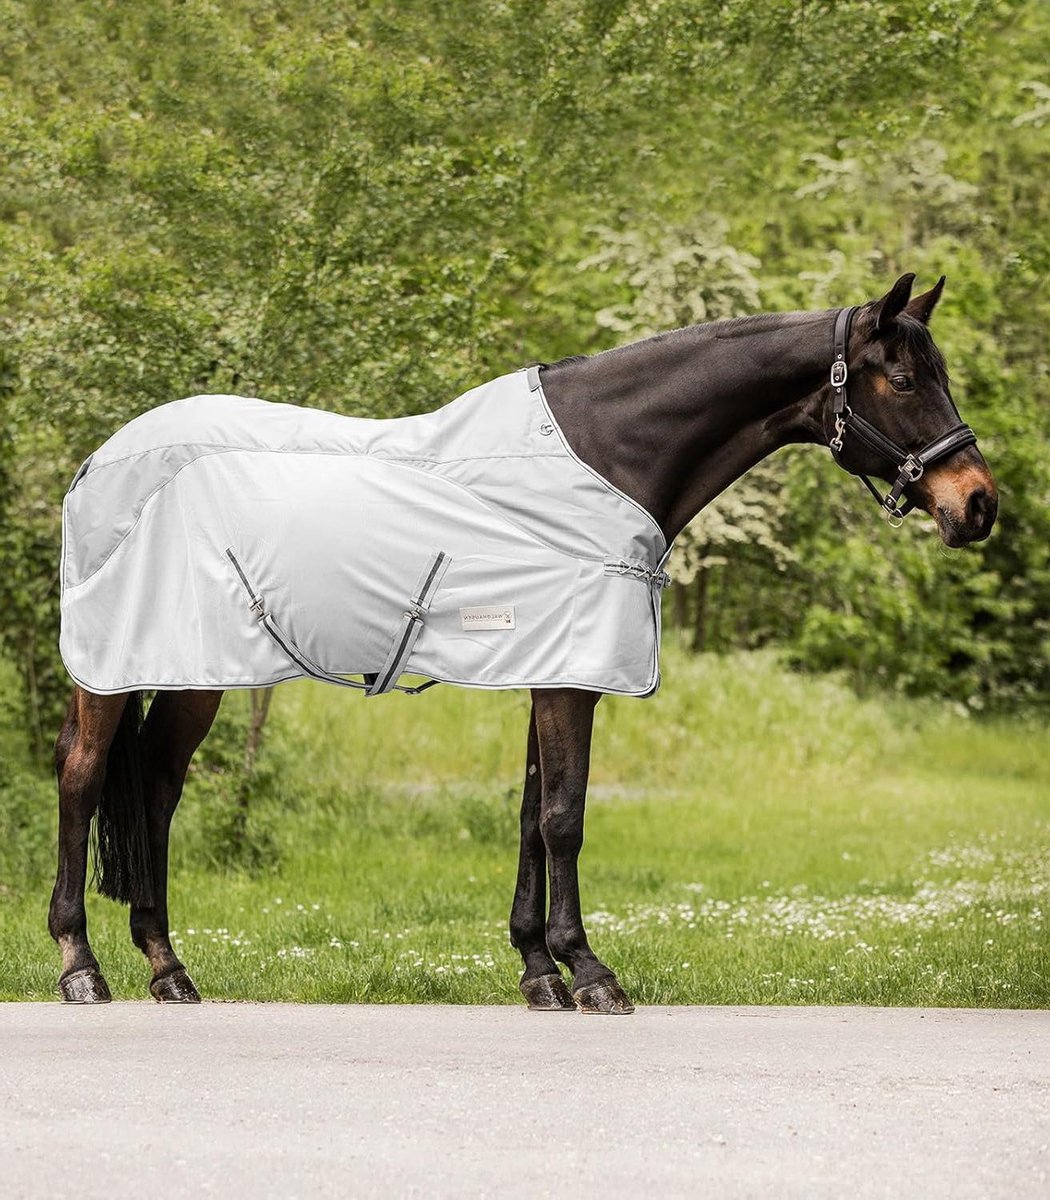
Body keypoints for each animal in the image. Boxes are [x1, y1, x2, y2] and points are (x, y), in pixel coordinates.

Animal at [49, 273, 997, 1012]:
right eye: (902, 379)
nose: (979, 503)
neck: (604, 458)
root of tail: (99, 462)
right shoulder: (573, 675)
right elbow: (565, 818)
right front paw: (591, 973)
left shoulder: (553, 665)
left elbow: (532, 819)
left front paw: (539, 970)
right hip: (112, 669)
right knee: (84, 777)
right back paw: (80, 966)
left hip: (189, 672)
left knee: (156, 788)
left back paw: (168, 969)